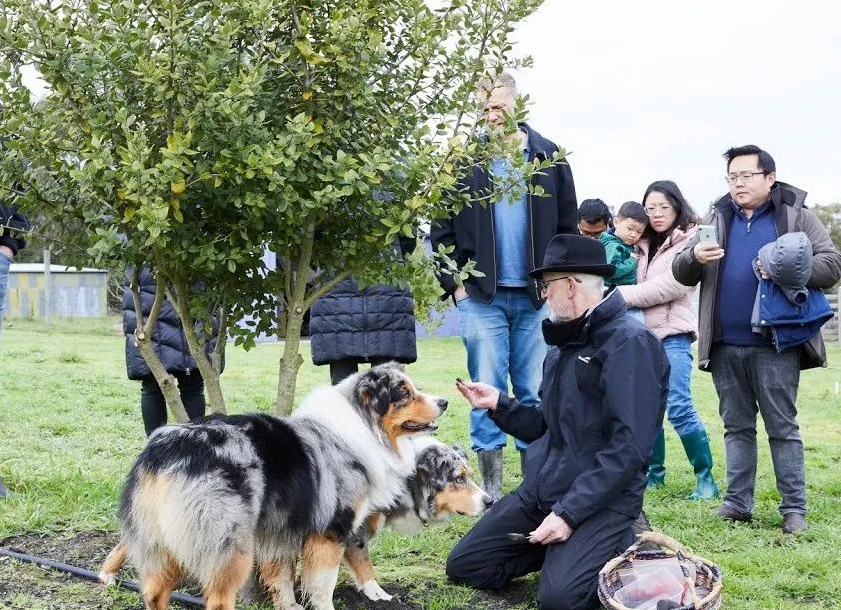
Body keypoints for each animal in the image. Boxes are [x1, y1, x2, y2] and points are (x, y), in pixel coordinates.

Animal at [101, 360, 446, 608]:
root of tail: (165, 448)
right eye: (405, 393)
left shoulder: (279, 530)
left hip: (161, 538)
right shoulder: (330, 531)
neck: (364, 426)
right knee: (217, 600)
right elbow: (323, 586)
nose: (444, 401)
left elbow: (281, 579)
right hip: (230, 546)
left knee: (154, 593)